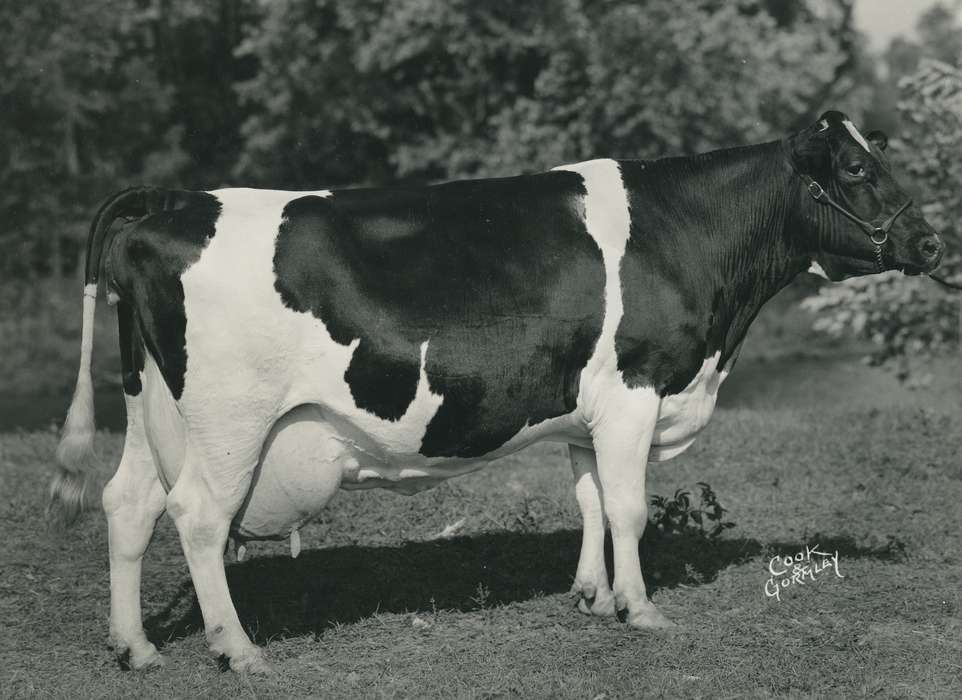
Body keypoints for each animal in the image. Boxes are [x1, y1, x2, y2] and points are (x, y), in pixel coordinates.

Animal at [50, 111, 943, 673]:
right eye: (856, 168)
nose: (932, 241)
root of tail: (173, 198)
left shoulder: (588, 409)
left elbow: (590, 500)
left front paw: (592, 596)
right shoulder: (635, 387)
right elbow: (629, 507)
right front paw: (642, 610)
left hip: (151, 407)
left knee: (128, 504)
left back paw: (135, 648)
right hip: (229, 421)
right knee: (198, 518)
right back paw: (238, 650)